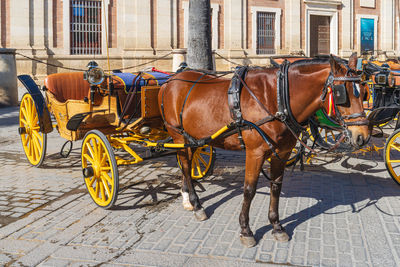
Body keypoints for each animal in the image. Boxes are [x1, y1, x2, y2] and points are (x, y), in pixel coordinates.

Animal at [157, 53, 368, 248]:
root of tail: (171, 80)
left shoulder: (281, 153)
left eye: (363, 91)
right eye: (342, 94)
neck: (278, 98)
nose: (363, 136)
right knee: (185, 166)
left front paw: (276, 226)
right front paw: (245, 230)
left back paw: (187, 198)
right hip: (178, 135)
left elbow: (276, 187)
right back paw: (196, 204)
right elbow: (249, 190)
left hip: (193, 138)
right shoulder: (255, 153)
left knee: (188, 163)